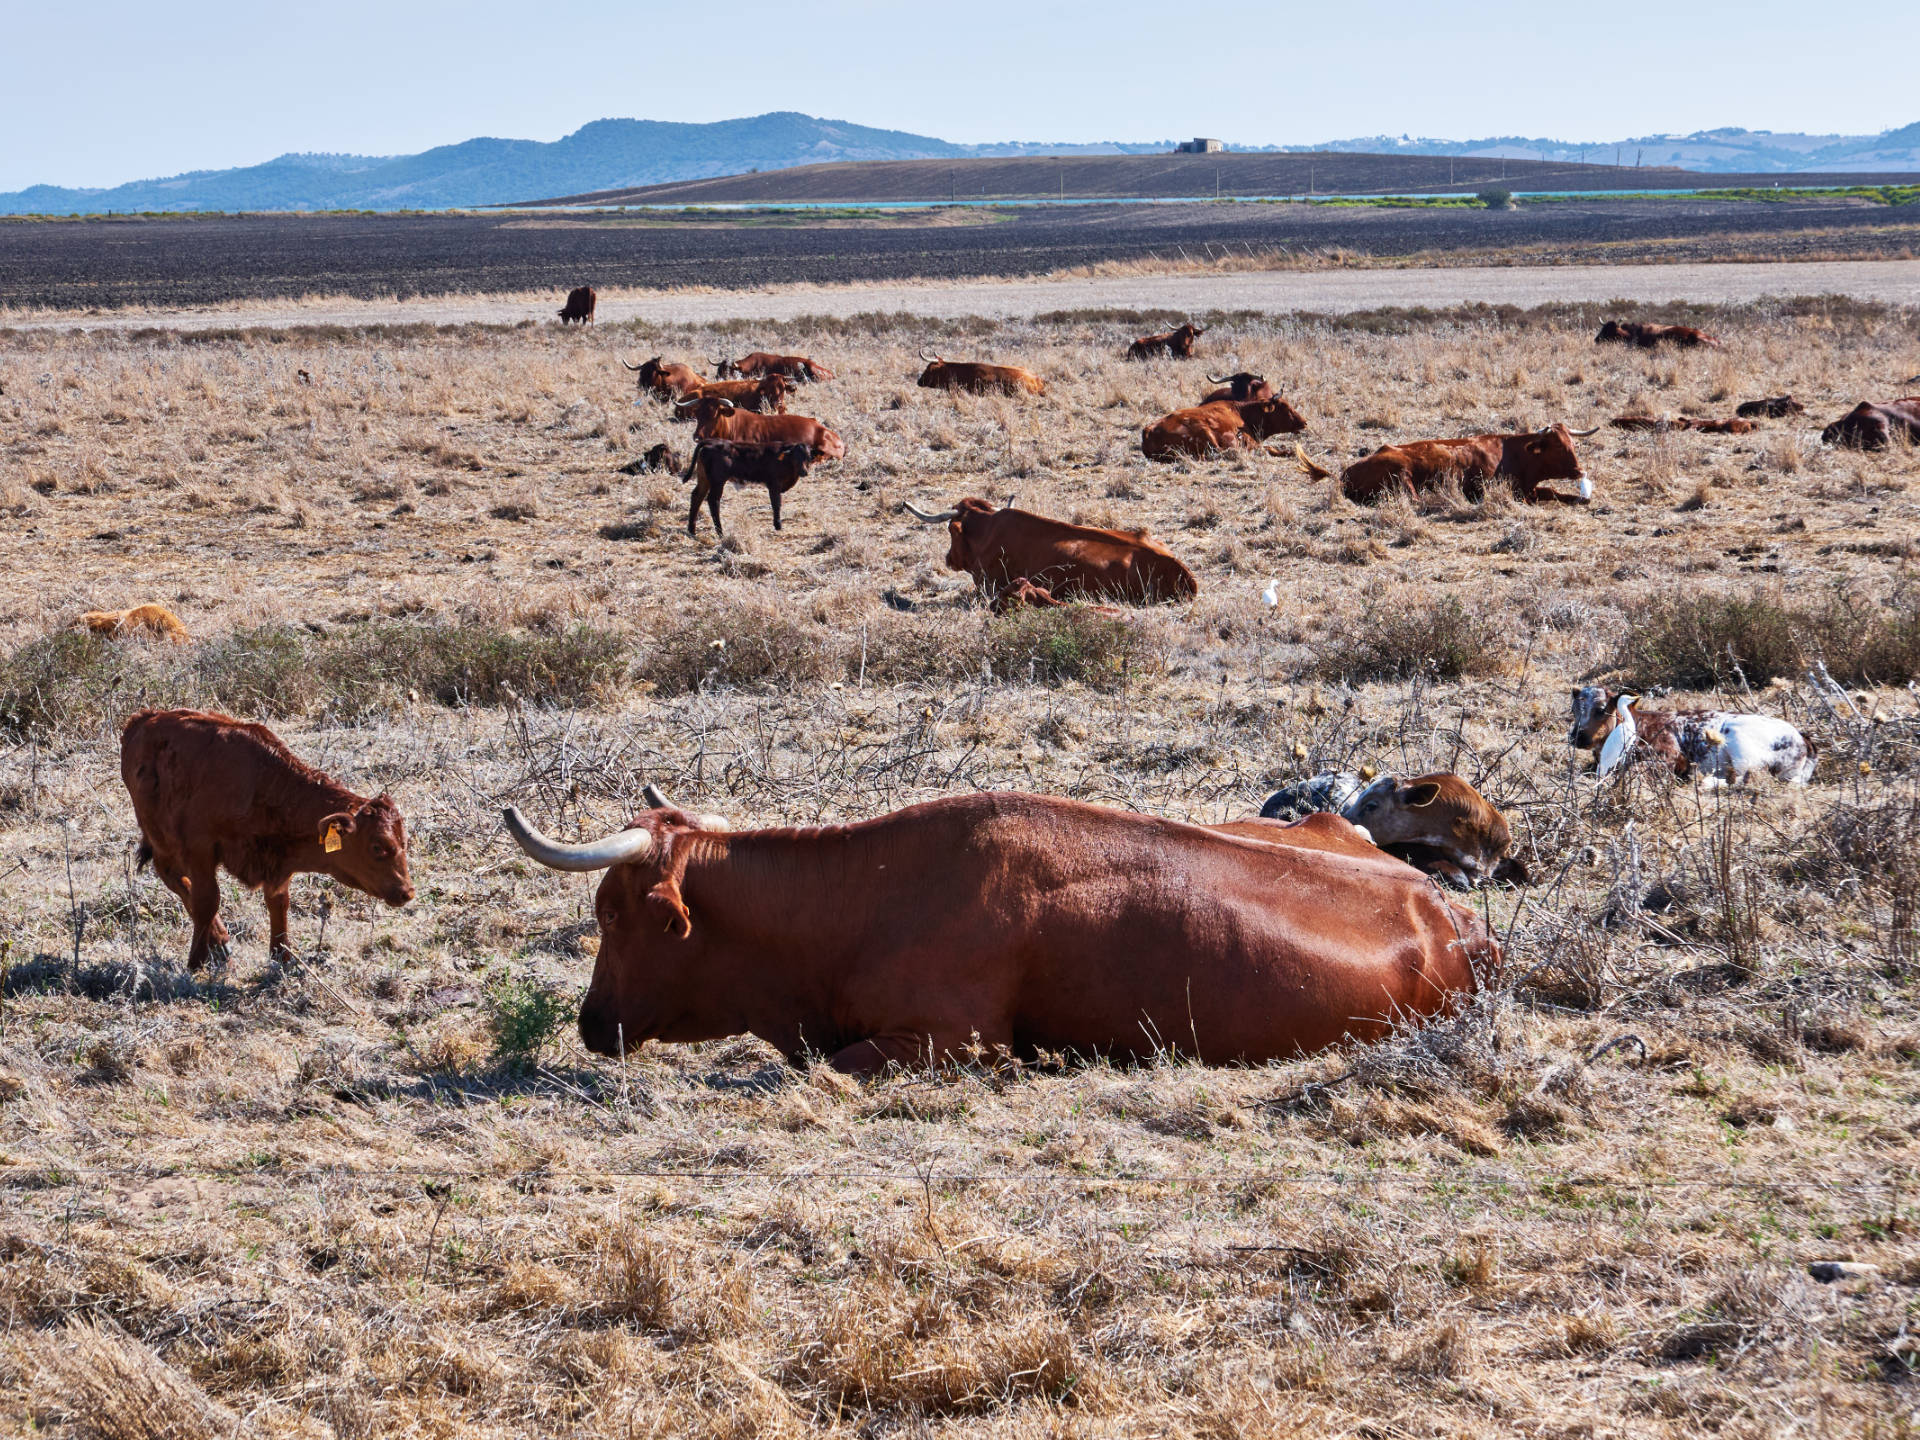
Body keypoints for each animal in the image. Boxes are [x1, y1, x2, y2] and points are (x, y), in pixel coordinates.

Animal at [120, 706, 412, 971]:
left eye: (404, 842)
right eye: (377, 846)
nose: (407, 892)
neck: (261, 784)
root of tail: (143, 718)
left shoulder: (277, 861)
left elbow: (278, 902)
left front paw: (281, 957)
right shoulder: (200, 849)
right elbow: (207, 900)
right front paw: (196, 962)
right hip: (161, 838)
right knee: (174, 877)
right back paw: (218, 942)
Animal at [1136, 397, 1305, 458]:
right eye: (1285, 408)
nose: (1304, 422)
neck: (1242, 412)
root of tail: (1148, 429)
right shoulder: (1249, 440)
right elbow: (1268, 448)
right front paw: (1288, 451)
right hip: (1205, 433)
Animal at [1297, 422, 1597, 506]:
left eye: (1572, 443)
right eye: (1557, 446)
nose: (1579, 470)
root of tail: (1345, 471)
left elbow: (1554, 492)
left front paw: (1581, 498)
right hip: (1401, 475)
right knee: (1415, 500)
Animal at [1566, 691, 1820, 783]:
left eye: (1601, 709)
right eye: (1574, 709)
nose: (1577, 737)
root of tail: (1802, 738)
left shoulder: (1670, 754)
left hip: (1740, 745)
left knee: (1742, 780)